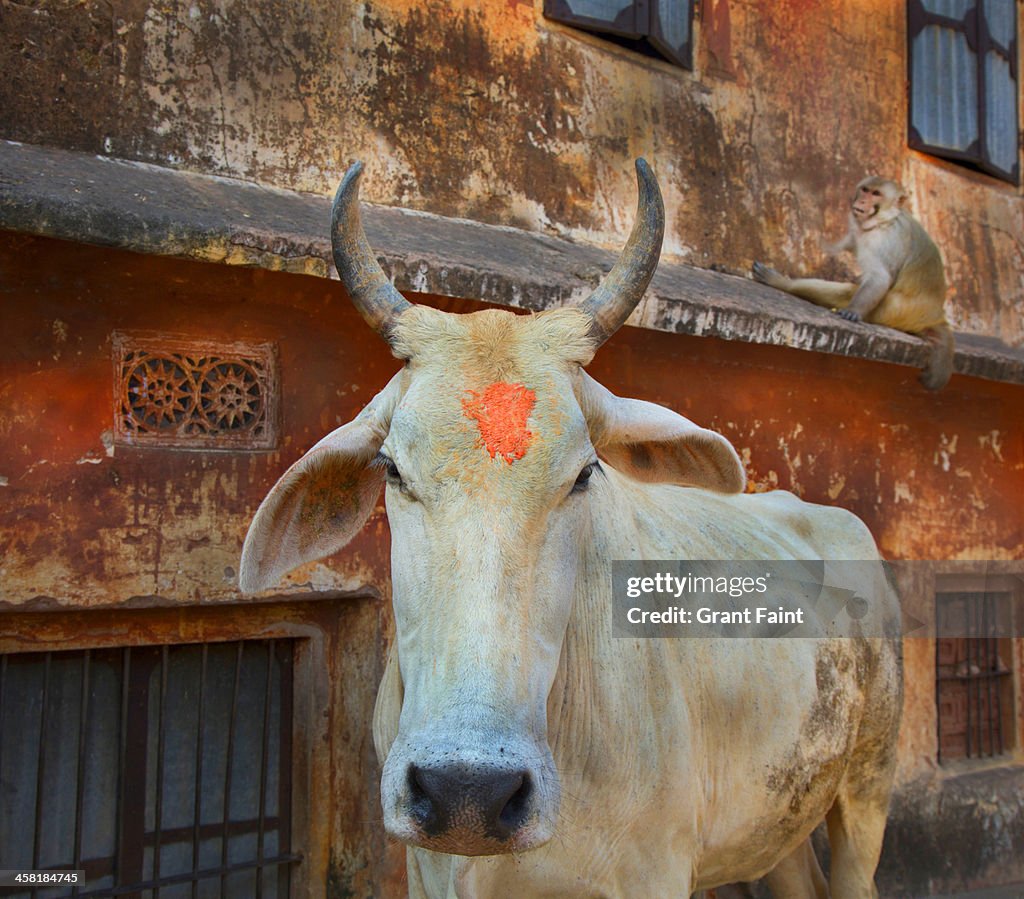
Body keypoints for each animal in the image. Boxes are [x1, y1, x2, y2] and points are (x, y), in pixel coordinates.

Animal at [239, 158, 905, 896]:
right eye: (392, 468)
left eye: (584, 474)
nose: (466, 792)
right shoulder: (422, 867)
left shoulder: (654, 871)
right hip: (777, 817)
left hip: (868, 782)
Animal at [749, 176, 954, 391]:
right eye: (865, 190)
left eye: (876, 194)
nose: (862, 201)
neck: (885, 219)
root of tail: (935, 316)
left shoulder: (883, 241)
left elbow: (880, 278)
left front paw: (852, 310)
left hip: (896, 309)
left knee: (847, 293)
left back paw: (782, 283)